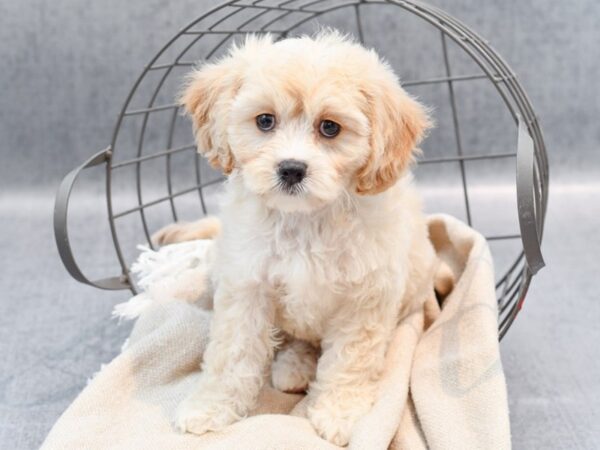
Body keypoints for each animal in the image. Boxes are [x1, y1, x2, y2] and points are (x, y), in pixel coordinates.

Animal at [162, 32, 438, 446]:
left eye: (330, 128)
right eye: (265, 121)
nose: (291, 169)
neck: (305, 218)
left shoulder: (365, 299)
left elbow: (351, 360)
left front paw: (339, 413)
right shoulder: (246, 285)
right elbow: (231, 354)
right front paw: (209, 407)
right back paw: (293, 366)